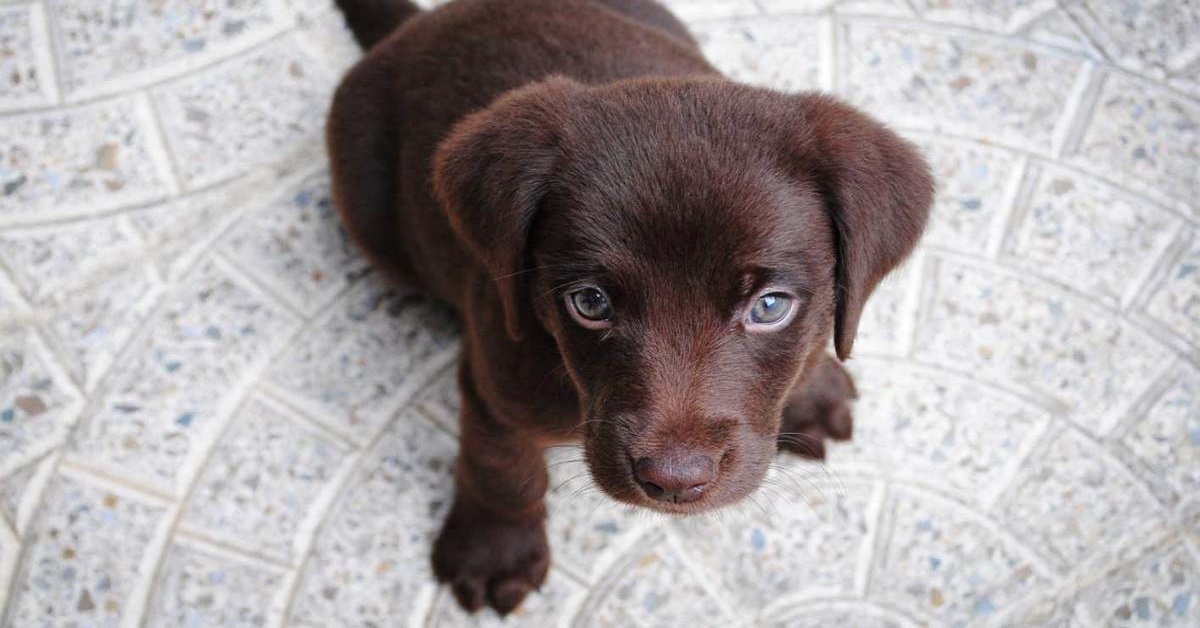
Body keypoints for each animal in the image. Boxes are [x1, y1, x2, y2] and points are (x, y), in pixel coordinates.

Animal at [331, 0, 936, 619]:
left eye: (769, 307)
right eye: (590, 303)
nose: (674, 481)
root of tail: (419, 24)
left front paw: (811, 390)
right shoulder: (495, 379)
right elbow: (501, 467)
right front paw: (494, 551)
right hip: (368, 206)